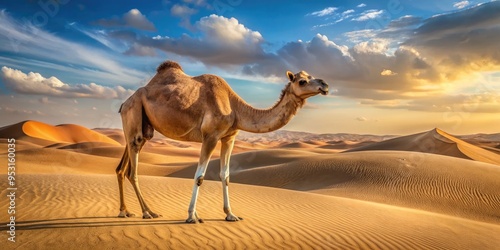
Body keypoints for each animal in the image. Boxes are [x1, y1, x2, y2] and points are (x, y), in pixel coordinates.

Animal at [115, 61, 330, 223]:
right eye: (302, 81)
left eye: (310, 75)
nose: (325, 85)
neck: (235, 108)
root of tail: (124, 103)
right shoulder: (210, 136)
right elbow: (199, 176)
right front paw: (192, 216)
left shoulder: (229, 137)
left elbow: (225, 175)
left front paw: (230, 215)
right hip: (135, 115)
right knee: (133, 171)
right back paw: (147, 212)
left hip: (140, 128)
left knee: (121, 168)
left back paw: (125, 211)